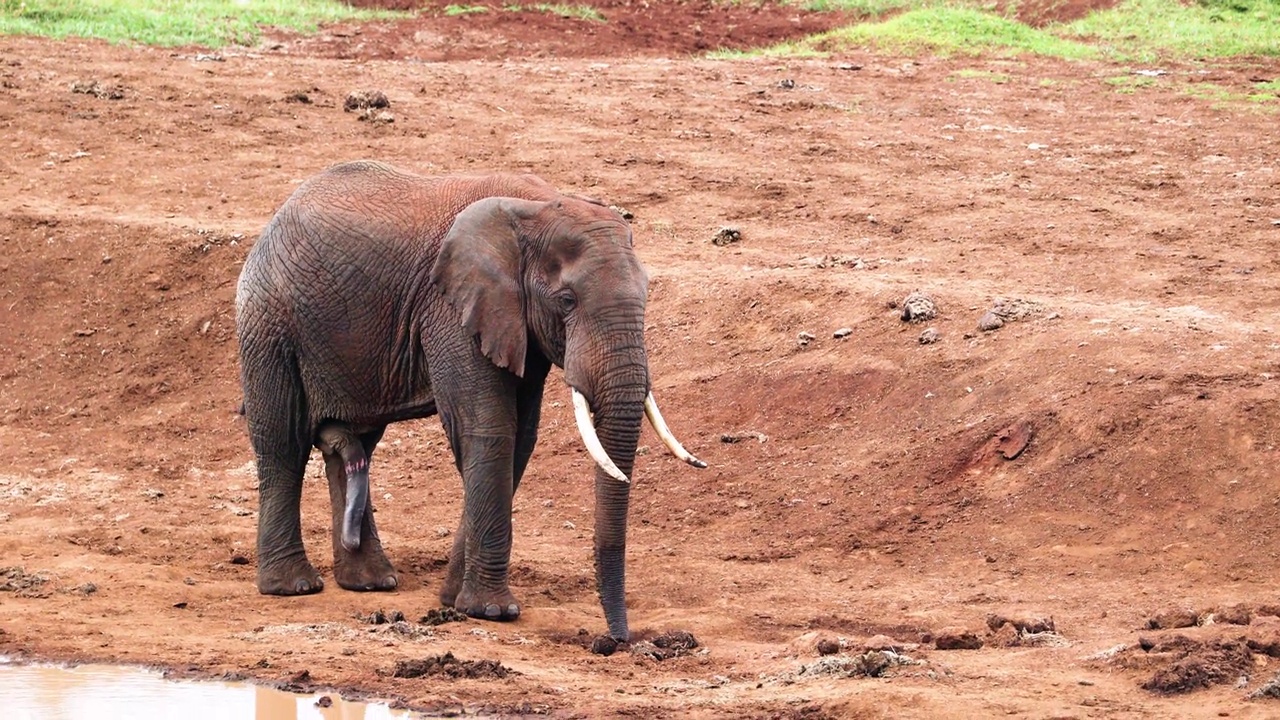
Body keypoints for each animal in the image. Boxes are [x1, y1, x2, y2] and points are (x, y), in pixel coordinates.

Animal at [235, 159, 706, 635]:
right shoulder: (450, 307)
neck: (539, 209)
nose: (617, 639)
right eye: (567, 300)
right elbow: (488, 429)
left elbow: (521, 438)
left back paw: (369, 582)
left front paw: (454, 601)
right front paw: (492, 612)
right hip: (267, 321)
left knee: (356, 446)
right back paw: (293, 587)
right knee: (282, 441)